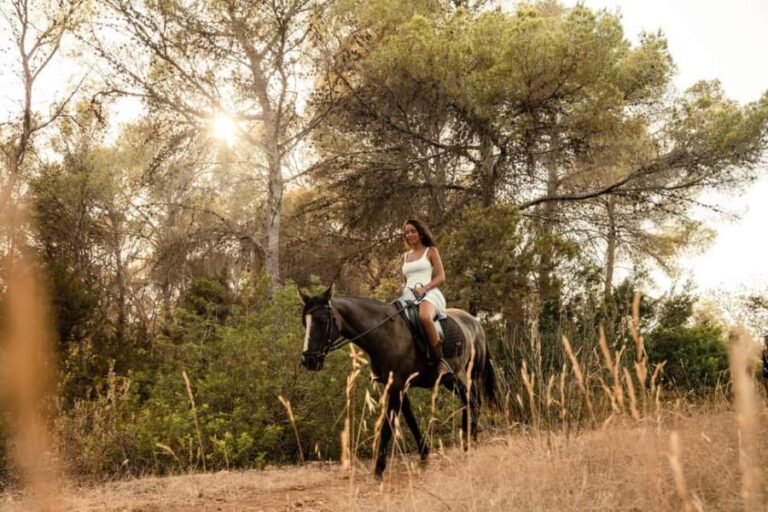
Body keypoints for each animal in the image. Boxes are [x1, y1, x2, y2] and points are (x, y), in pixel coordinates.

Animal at [299, 284, 500, 479]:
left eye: (322, 320)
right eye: (304, 322)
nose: (308, 360)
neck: (384, 333)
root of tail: (475, 322)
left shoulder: (396, 386)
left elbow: (388, 424)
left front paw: (379, 469)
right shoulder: (397, 386)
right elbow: (410, 419)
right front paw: (424, 456)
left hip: (474, 372)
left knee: (474, 400)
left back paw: (472, 441)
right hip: (448, 379)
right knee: (467, 399)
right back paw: (467, 442)